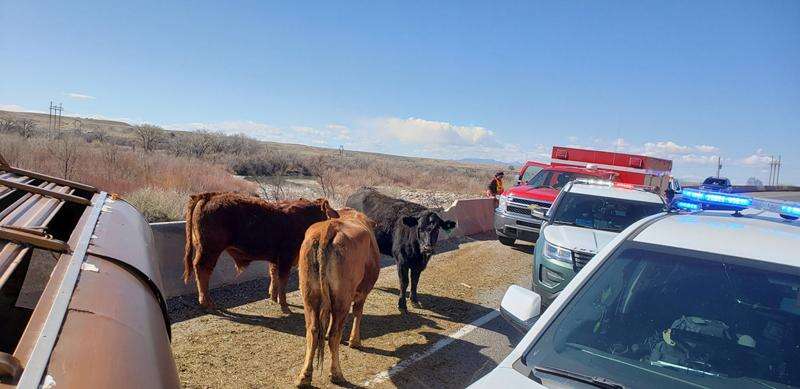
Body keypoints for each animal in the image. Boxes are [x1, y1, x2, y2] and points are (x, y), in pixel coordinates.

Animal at [182, 191, 338, 310]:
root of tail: (209, 195)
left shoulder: (276, 259)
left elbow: (274, 276)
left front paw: (273, 297)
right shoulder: (286, 257)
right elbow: (283, 279)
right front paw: (283, 303)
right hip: (209, 250)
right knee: (202, 270)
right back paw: (207, 302)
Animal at [296, 208, 380, 384]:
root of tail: (329, 227)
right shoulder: (363, 292)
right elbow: (358, 312)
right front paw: (355, 341)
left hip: (309, 294)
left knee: (312, 331)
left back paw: (304, 376)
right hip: (342, 299)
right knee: (335, 333)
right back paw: (336, 374)